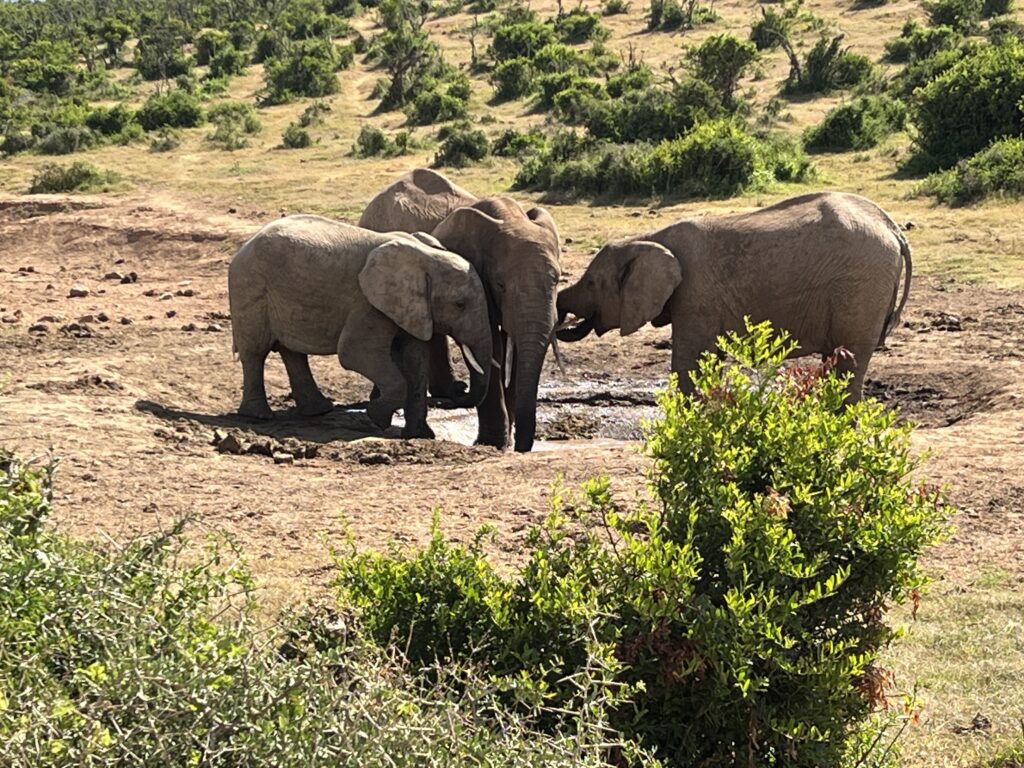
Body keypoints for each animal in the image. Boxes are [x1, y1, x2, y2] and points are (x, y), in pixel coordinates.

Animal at [228, 215, 493, 438]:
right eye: (460, 305)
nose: (460, 387)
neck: (424, 256)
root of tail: (244, 247)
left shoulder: (411, 307)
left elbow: (415, 359)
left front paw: (420, 436)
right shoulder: (367, 303)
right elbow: (355, 353)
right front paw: (375, 419)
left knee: (292, 351)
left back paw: (319, 410)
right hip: (250, 288)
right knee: (255, 352)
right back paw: (259, 415)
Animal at [360, 169, 562, 452]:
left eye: (557, 280)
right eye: (500, 284)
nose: (522, 448)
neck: (508, 216)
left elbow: (513, 347)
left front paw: (506, 440)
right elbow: (493, 349)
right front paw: (493, 443)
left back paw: (448, 391)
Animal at [556, 192, 912, 401]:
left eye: (591, 283)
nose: (559, 311)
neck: (648, 238)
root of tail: (893, 228)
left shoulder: (696, 294)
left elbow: (690, 360)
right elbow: (706, 359)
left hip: (861, 285)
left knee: (849, 362)